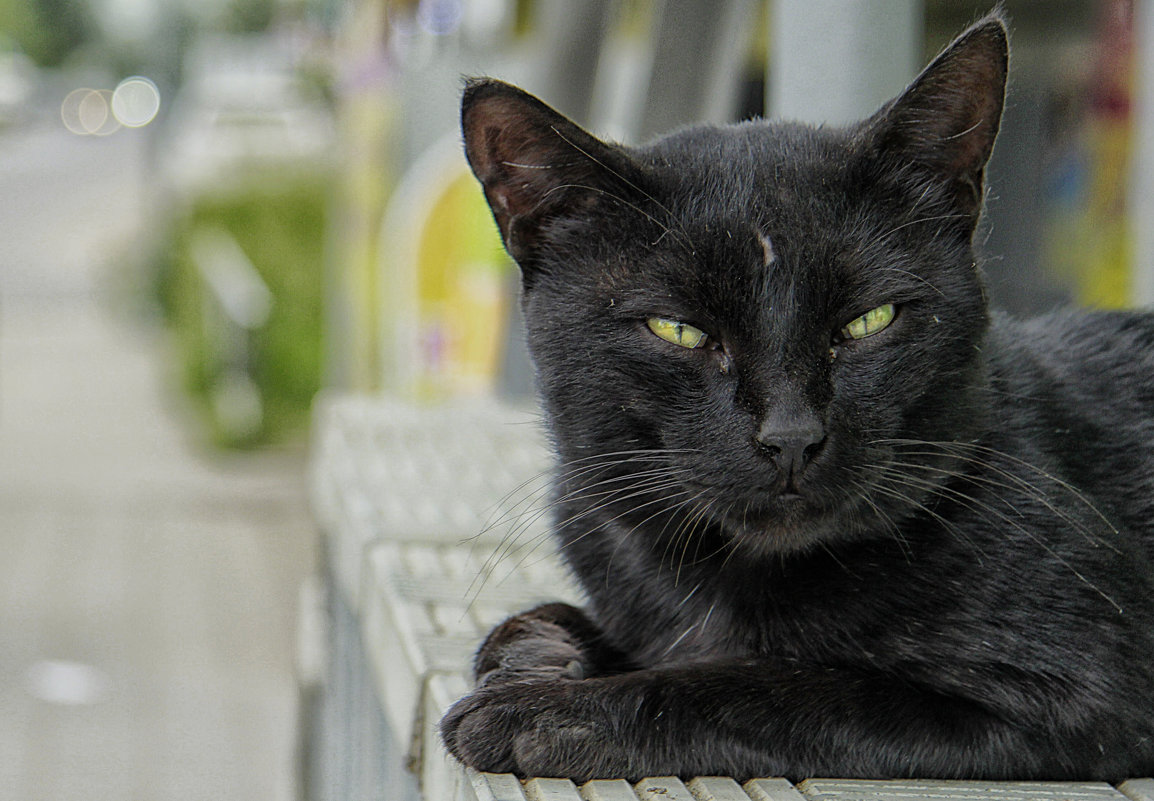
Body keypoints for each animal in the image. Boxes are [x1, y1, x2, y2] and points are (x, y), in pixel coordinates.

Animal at [438, 10, 1154, 784]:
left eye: (869, 321)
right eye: (679, 330)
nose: (790, 435)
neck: (711, 582)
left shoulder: (1074, 692)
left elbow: (767, 683)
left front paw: (543, 709)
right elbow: (546, 616)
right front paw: (536, 655)